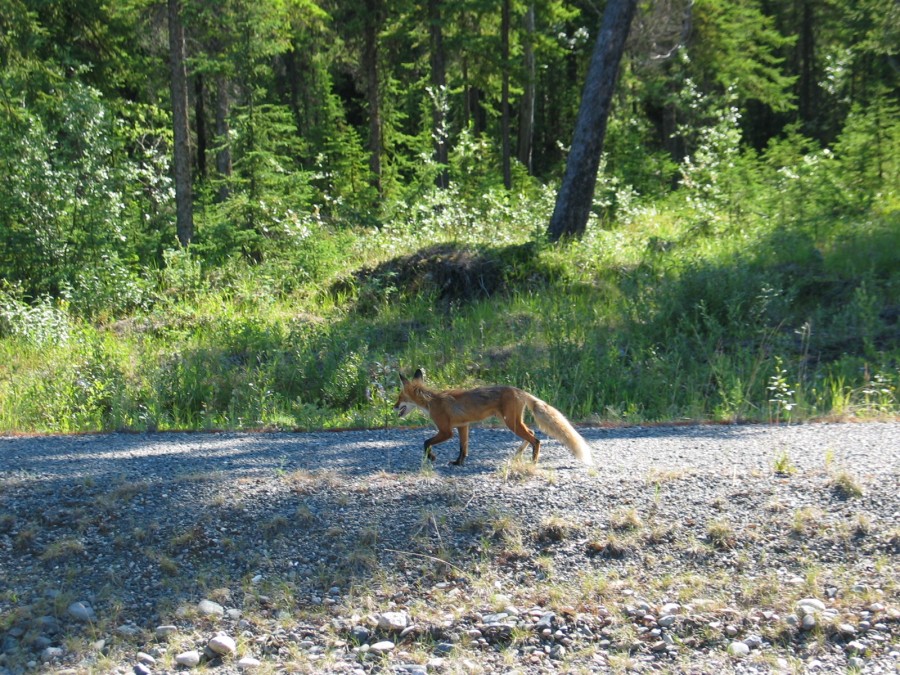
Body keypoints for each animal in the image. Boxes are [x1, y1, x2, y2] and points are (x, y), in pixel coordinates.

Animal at [392, 370, 592, 470]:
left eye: (400, 397)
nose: (393, 407)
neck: (431, 401)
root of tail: (520, 391)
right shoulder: (463, 426)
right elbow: (463, 448)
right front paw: (458, 463)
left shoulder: (446, 431)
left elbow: (426, 442)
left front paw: (431, 457)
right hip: (514, 422)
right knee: (532, 432)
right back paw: (518, 454)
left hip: (511, 423)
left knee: (536, 439)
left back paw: (533, 462)